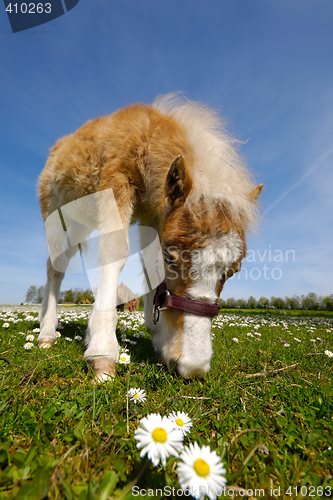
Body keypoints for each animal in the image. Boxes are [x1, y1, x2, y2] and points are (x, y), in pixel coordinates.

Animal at [37, 94, 262, 378]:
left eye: (234, 271)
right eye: (171, 258)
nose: (194, 368)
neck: (146, 138)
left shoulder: (154, 215)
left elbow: (148, 263)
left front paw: (158, 337)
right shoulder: (116, 182)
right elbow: (114, 251)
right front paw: (102, 352)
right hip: (58, 216)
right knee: (56, 265)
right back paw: (46, 332)